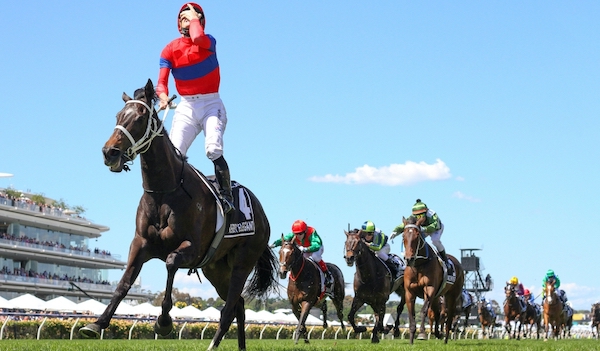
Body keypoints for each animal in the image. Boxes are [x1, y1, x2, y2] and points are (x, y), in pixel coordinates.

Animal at [81, 80, 278, 351]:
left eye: (140, 118)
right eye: (118, 116)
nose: (109, 152)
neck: (164, 192)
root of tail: (261, 212)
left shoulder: (192, 248)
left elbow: (171, 262)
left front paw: (163, 322)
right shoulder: (140, 244)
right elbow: (124, 283)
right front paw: (97, 323)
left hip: (242, 261)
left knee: (229, 307)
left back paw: (212, 344)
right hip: (216, 268)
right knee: (237, 303)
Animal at [400, 216, 466, 346]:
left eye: (417, 236)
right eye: (403, 235)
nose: (409, 259)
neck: (419, 265)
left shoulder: (429, 289)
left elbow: (423, 310)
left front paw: (421, 334)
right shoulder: (409, 292)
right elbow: (411, 314)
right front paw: (411, 339)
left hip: (452, 295)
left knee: (449, 315)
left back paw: (445, 338)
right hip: (437, 297)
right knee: (437, 314)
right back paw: (437, 333)